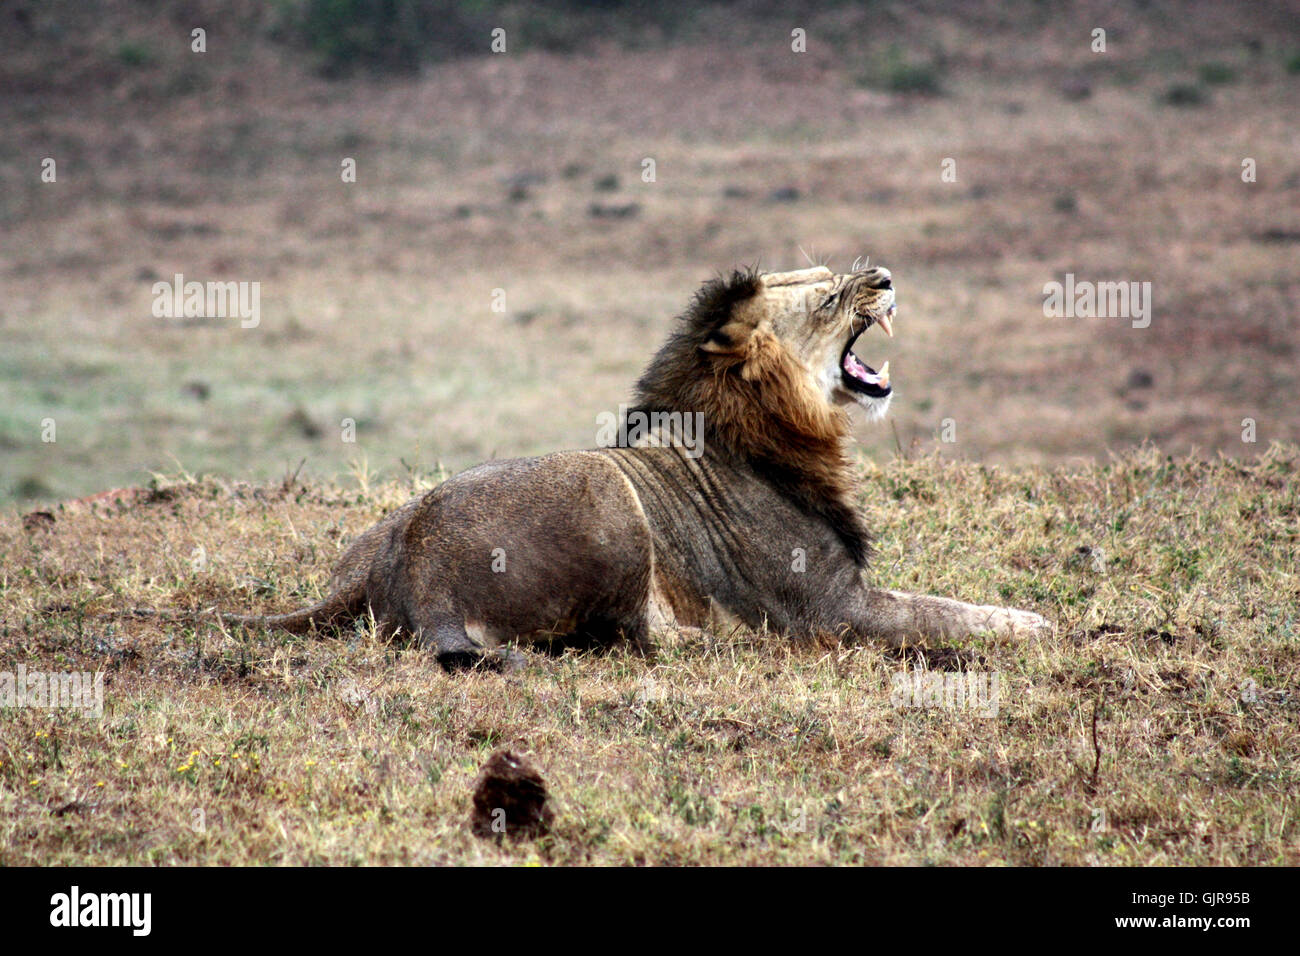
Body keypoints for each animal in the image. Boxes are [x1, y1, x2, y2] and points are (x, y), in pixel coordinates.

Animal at [168, 264, 1050, 668]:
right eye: (830, 296)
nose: (887, 277)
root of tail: (414, 570)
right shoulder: (831, 609)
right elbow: (941, 613)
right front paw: (1032, 624)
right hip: (605, 494)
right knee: (630, 636)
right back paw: (707, 640)